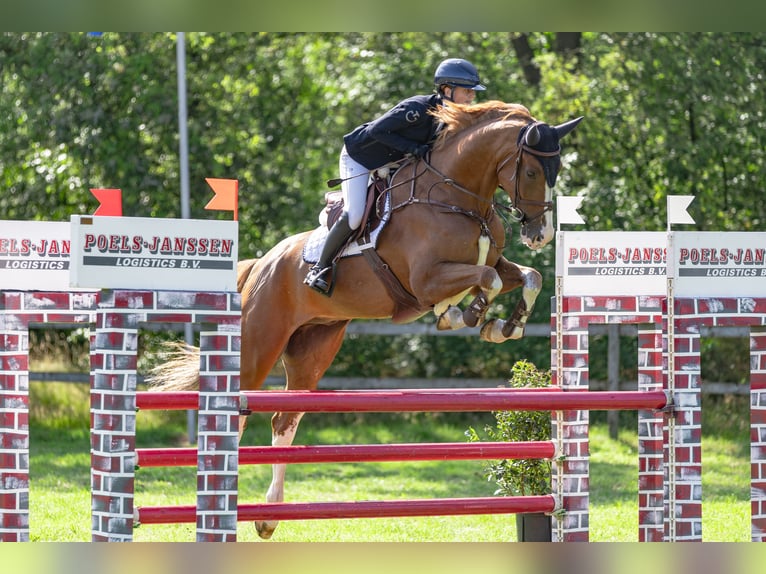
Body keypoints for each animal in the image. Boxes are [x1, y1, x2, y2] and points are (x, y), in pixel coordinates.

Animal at [148, 100, 584, 540]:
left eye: (556, 171)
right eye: (532, 172)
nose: (541, 235)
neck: (456, 195)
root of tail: (261, 264)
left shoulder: (492, 262)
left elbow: (528, 276)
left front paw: (504, 325)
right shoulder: (427, 280)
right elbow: (485, 281)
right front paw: (465, 314)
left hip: (313, 348)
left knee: (284, 419)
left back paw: (269, 515)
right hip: (259, 343)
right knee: (237, 416)